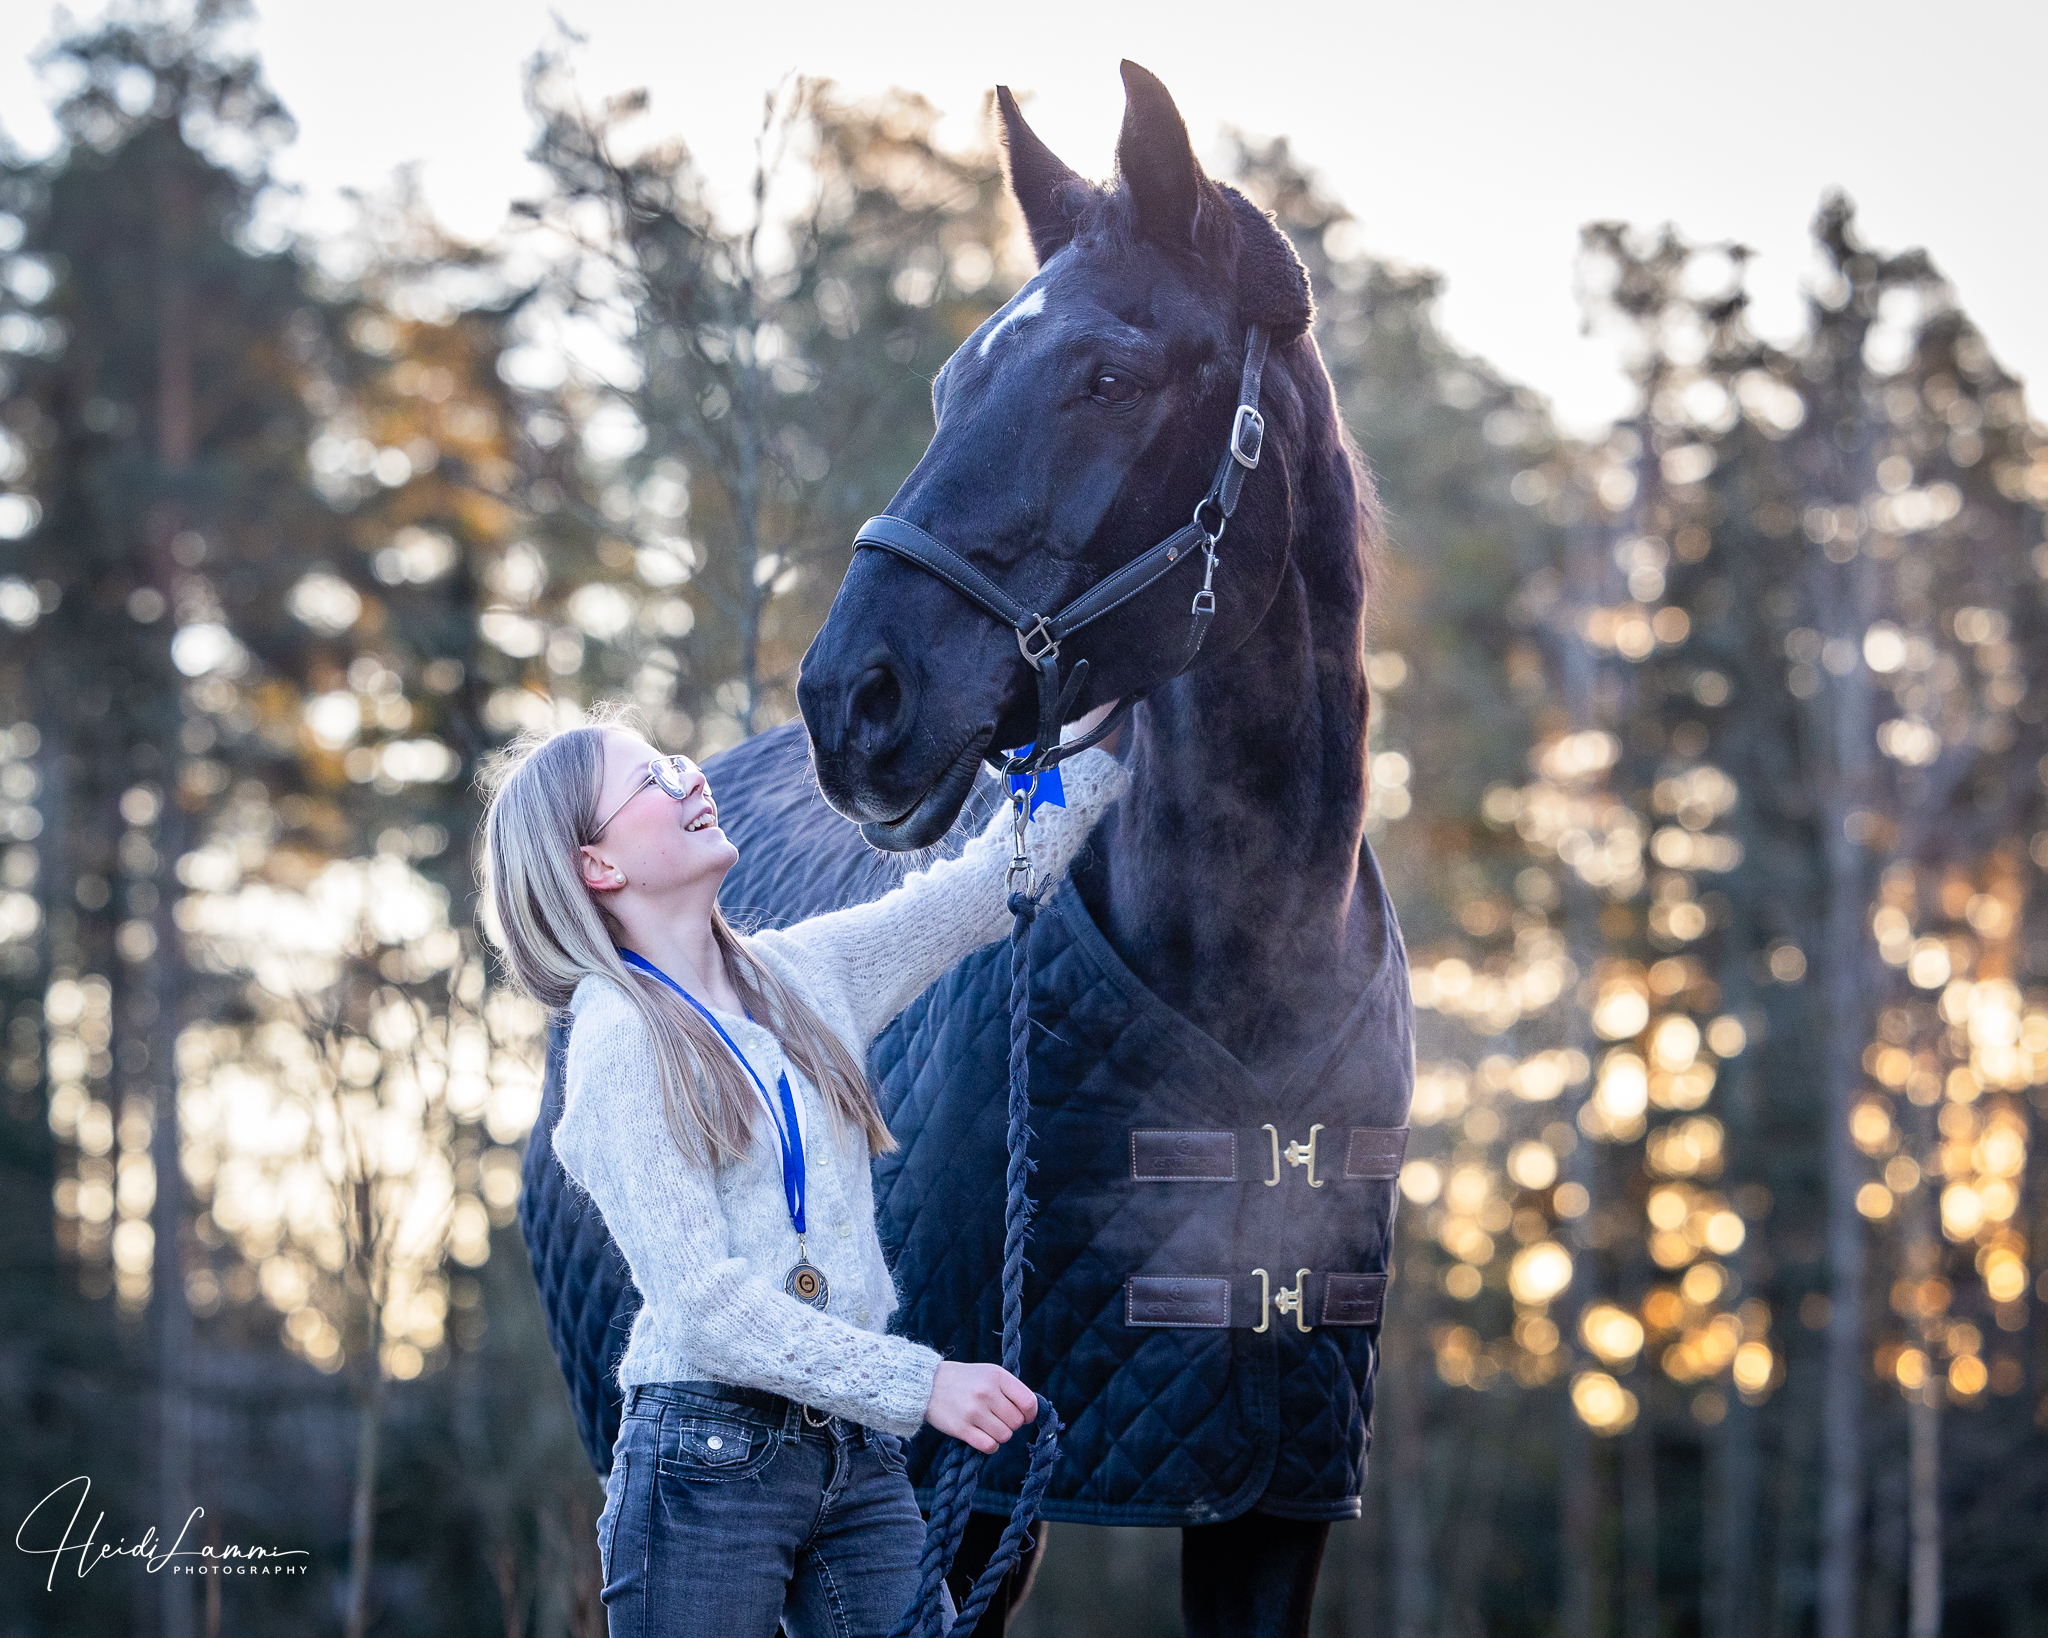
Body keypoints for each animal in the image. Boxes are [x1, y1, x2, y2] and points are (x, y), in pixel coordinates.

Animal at [518, 61, 1412, 1638]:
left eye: (1108, 376)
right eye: (950, 384)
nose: (853, 697)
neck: (1251, 971)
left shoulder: (1276, 1494)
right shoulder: (965, 1485)